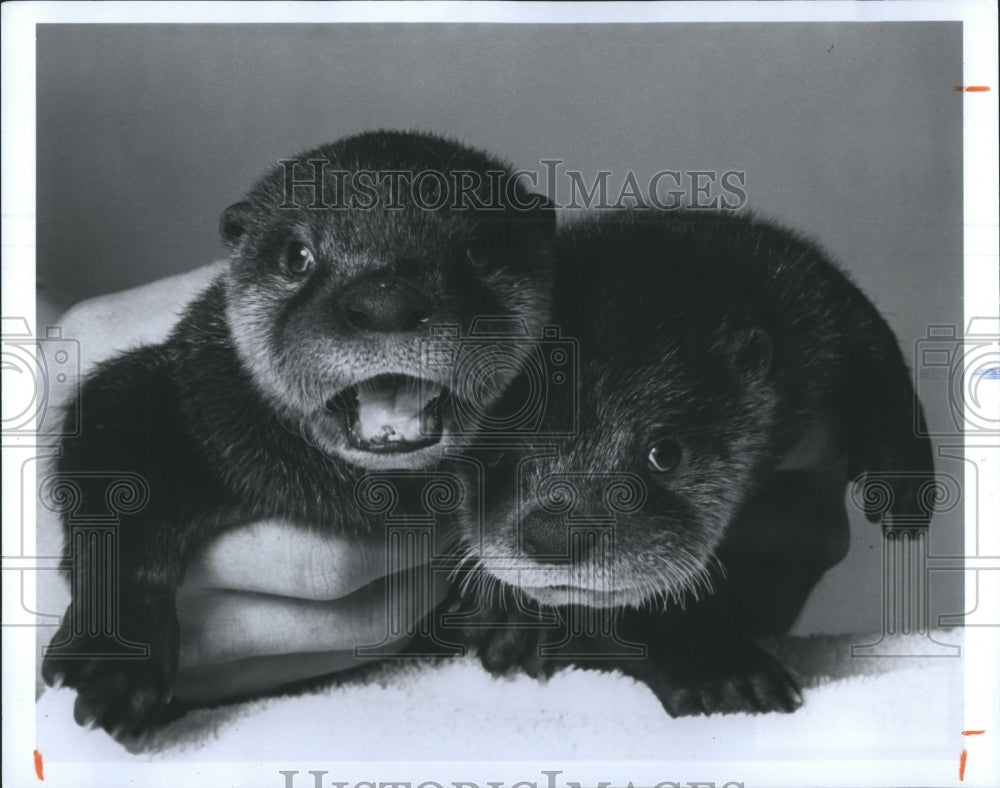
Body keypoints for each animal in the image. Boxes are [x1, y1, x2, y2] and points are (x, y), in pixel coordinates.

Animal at [41, 129, 556, 740]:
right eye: (298, 256)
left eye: (480, 253)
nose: (386, 302)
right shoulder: (173, 397)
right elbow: (114, 496)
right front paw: (118, 655)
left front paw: (512, 606)